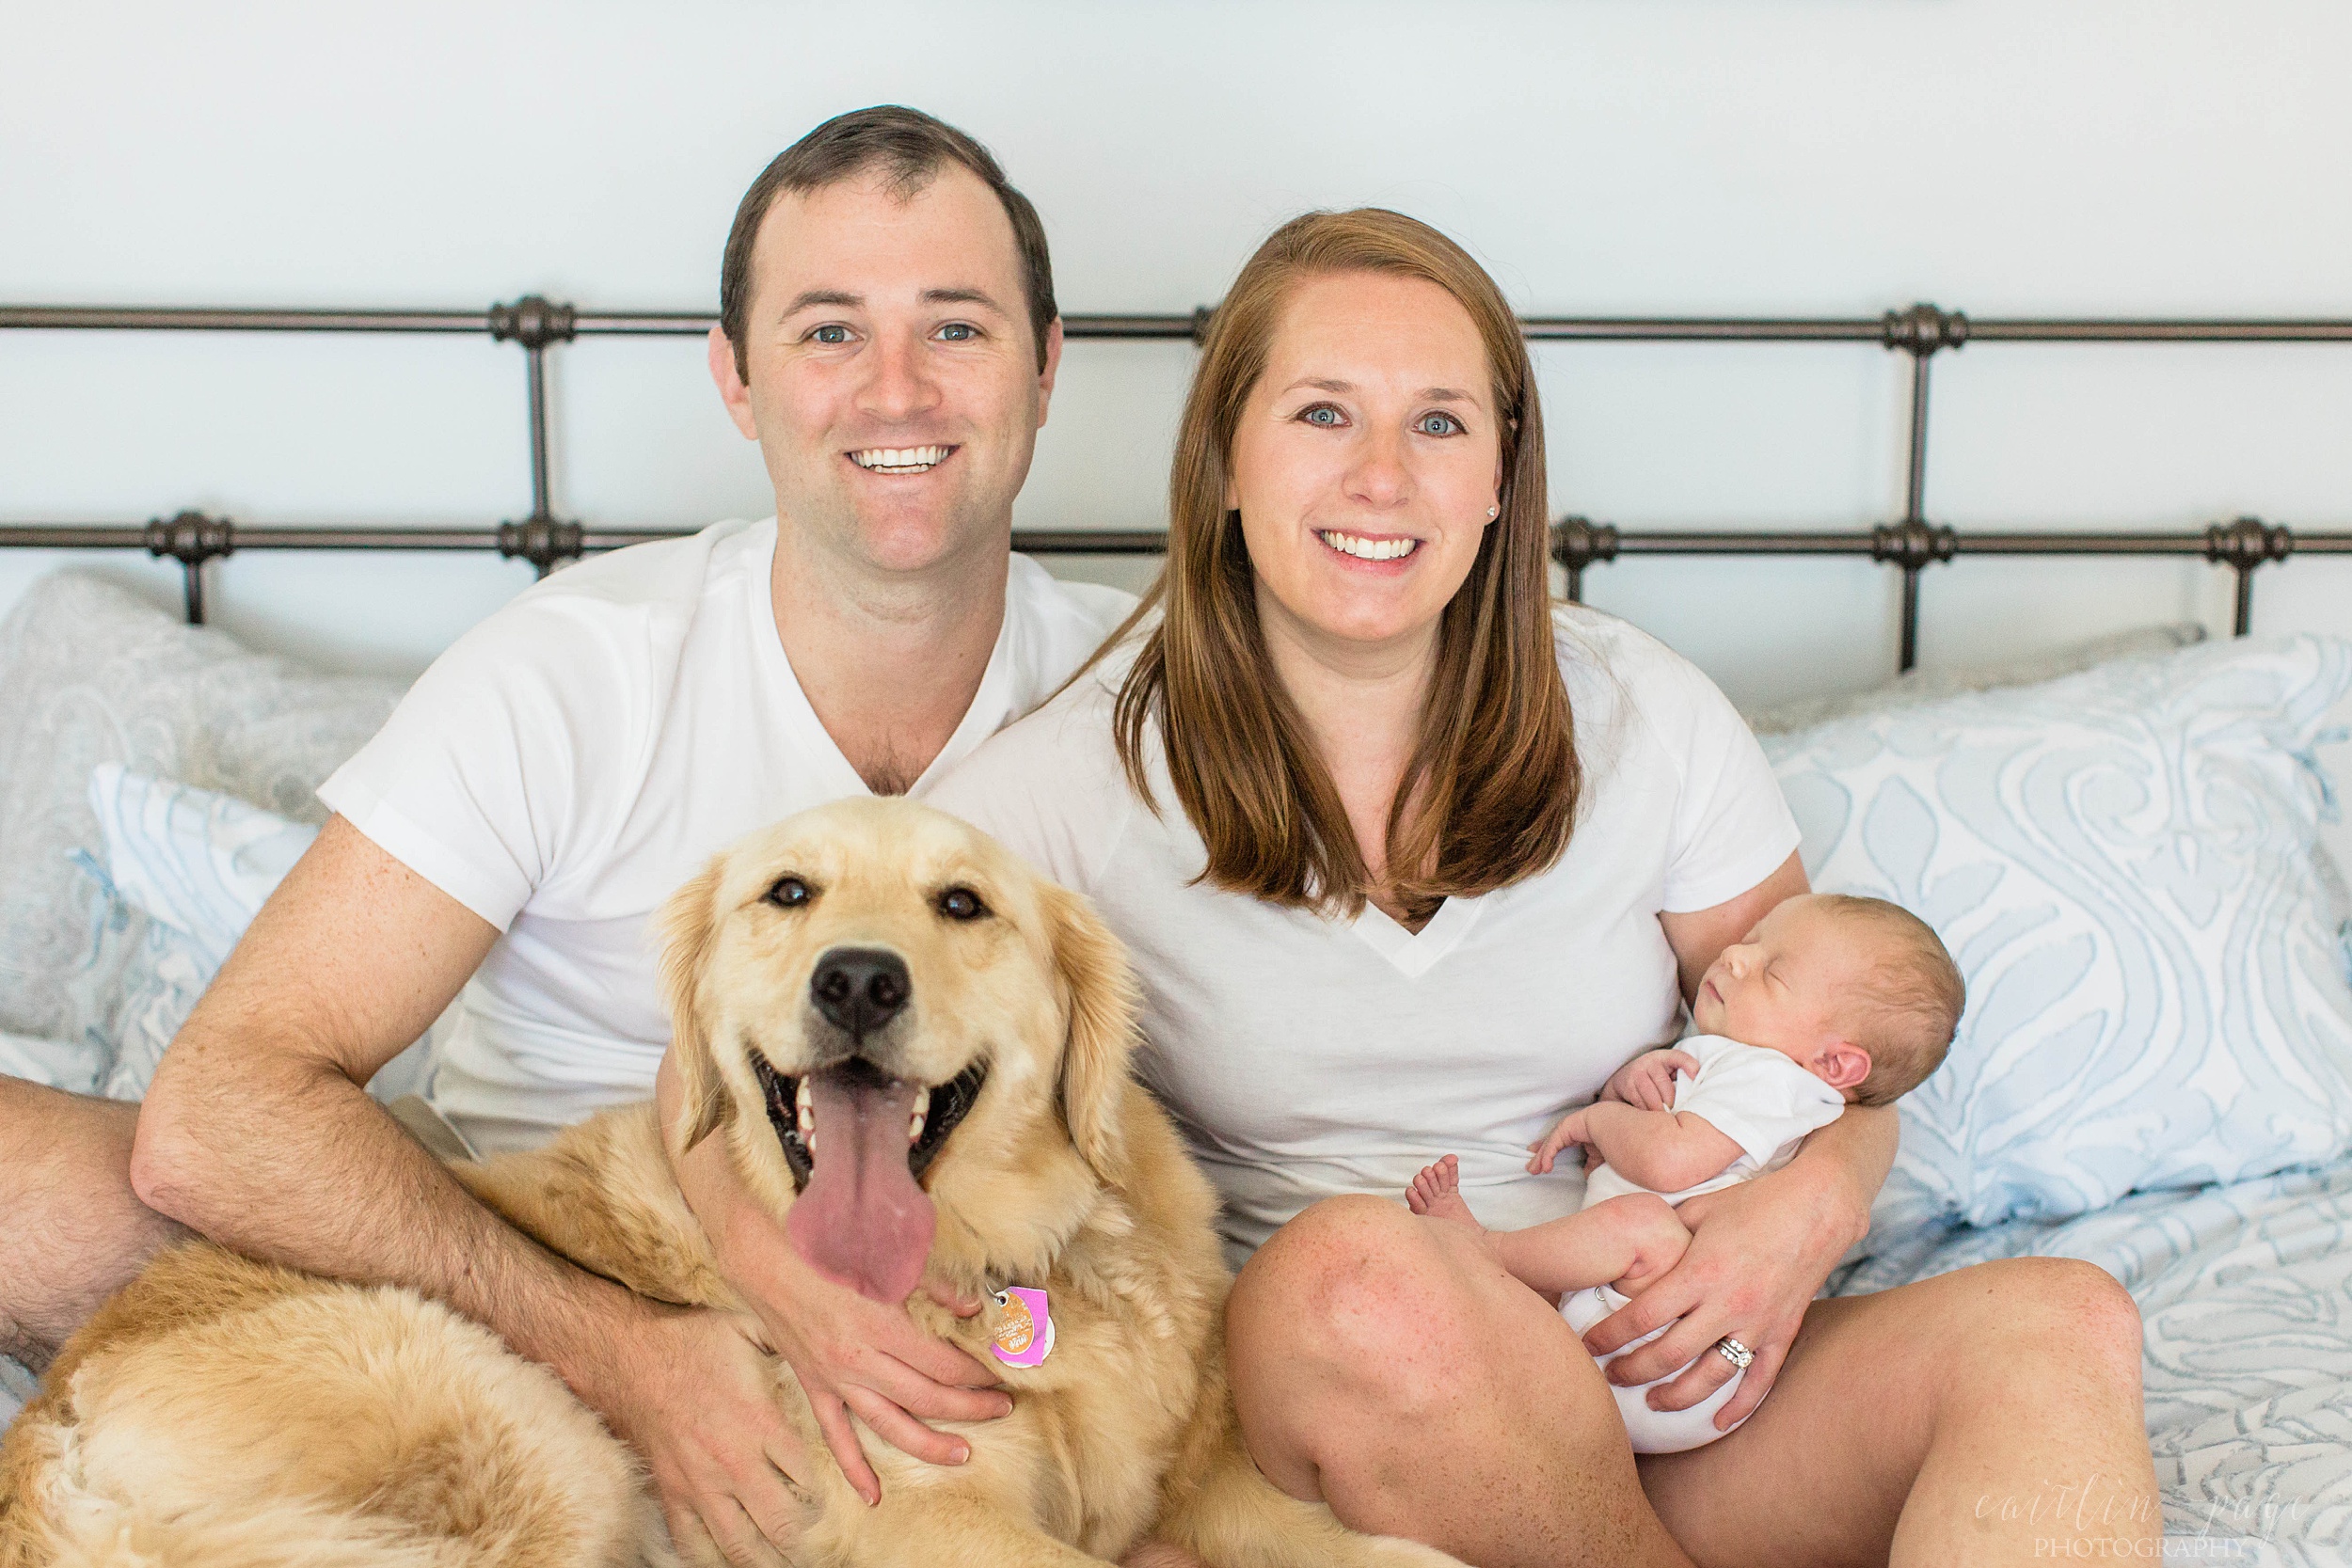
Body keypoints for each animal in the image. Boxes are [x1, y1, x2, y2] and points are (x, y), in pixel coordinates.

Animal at [0, 803, 1458, 1560]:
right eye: (788, 892)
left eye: (964, 903)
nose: (858, 978)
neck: (996, 1260)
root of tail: (44, 1427)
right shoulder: (934, 1524)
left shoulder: (1216, 1481)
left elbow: (1385, 1542)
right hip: (533, 1440)